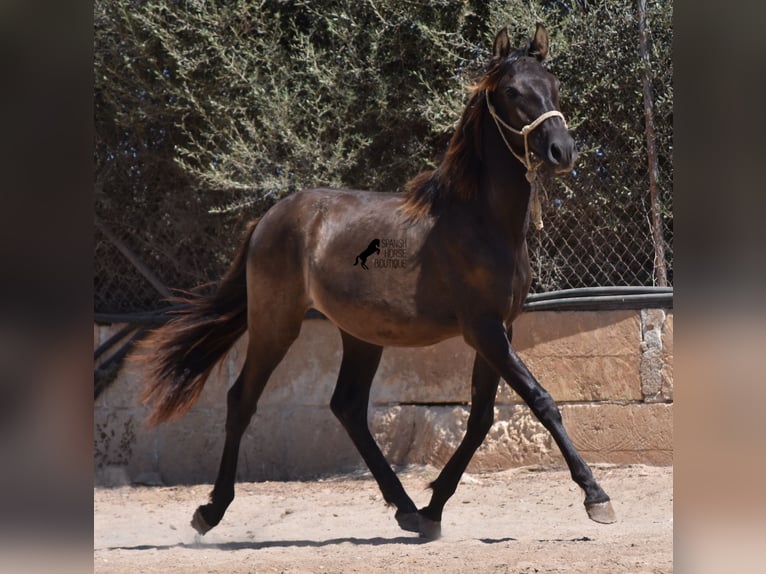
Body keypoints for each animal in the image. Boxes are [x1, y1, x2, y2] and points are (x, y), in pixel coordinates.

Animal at [140, 24, 616, 544]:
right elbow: (541, 401)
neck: (481, 221)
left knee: (347, 407)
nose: (562, 151)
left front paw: (433, 509)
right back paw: (210, 511)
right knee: (242, 399)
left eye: (554, 84)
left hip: (361, 334)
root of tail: (269, 218)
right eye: (512, 91)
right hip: (275, 323)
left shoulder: (500, 329)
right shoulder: (484, 329)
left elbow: (481, 419)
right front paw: (596, 497)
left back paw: (405, 509)